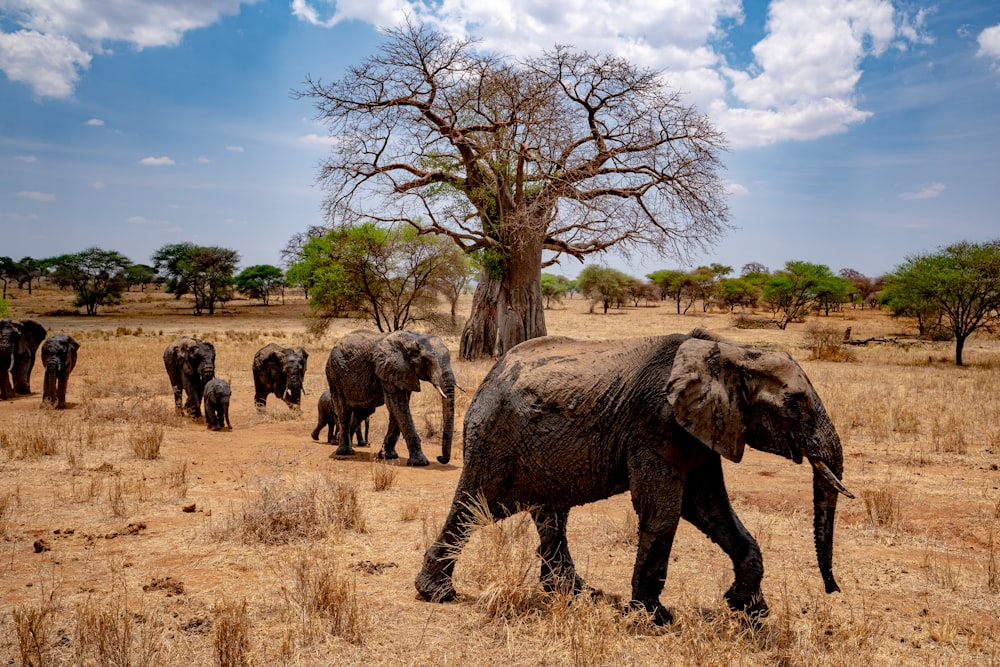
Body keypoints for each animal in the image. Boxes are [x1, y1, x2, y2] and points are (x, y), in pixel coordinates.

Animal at [324, 330, 458, 468]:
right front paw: (420, 463)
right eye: (427, 362)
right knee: (343, 409)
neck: (413, 338)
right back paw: (345, 452)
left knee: (361, 412)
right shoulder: (388, 369)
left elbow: (399, 408)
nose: (439, 457)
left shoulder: (402, 373)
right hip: (334, 373)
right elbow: (398, 405)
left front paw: (387, 456)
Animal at [414, 328, 852, 628]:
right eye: (795, 405)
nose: (834, 590)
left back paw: (575, 593)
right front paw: (654, 618)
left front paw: (751, 611)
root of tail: (492, 373)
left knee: (549, 514)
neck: (729, 351)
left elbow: (710, 509)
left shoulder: (704, 428)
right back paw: (437, 594)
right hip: (494, 436)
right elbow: (664, 511)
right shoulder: (655, 423)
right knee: (475, 505)